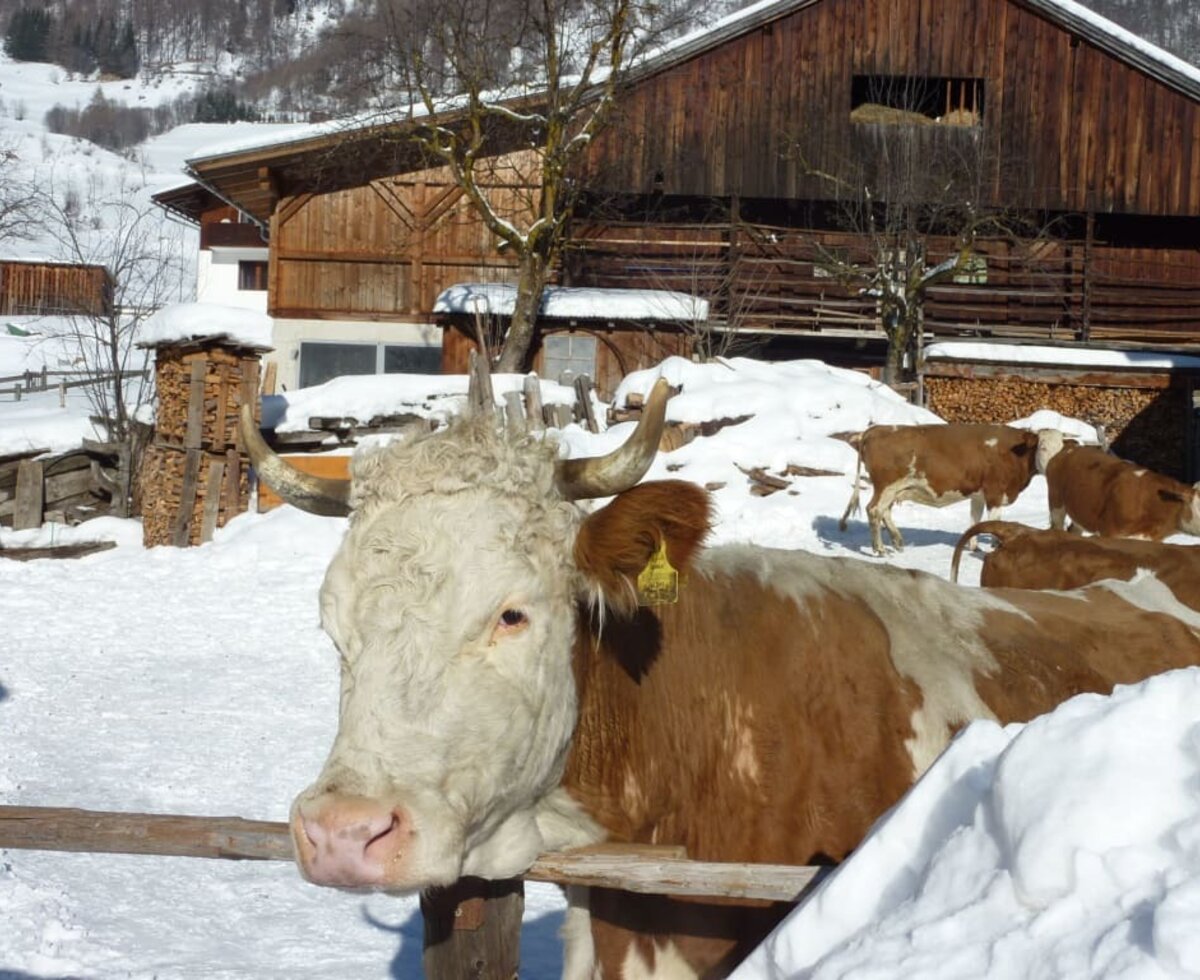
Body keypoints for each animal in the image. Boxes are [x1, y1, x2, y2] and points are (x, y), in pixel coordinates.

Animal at [835, 422, 1041, 554]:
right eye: (1042, 446)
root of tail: (875, 429)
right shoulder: (995, 492)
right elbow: (993, 521)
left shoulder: (978, 495)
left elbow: (975, 521)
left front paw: (974, 547)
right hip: (886, 486)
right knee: (874, 510)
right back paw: (879, 548)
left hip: (893, 490)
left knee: (884, 512)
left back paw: (897, 541)